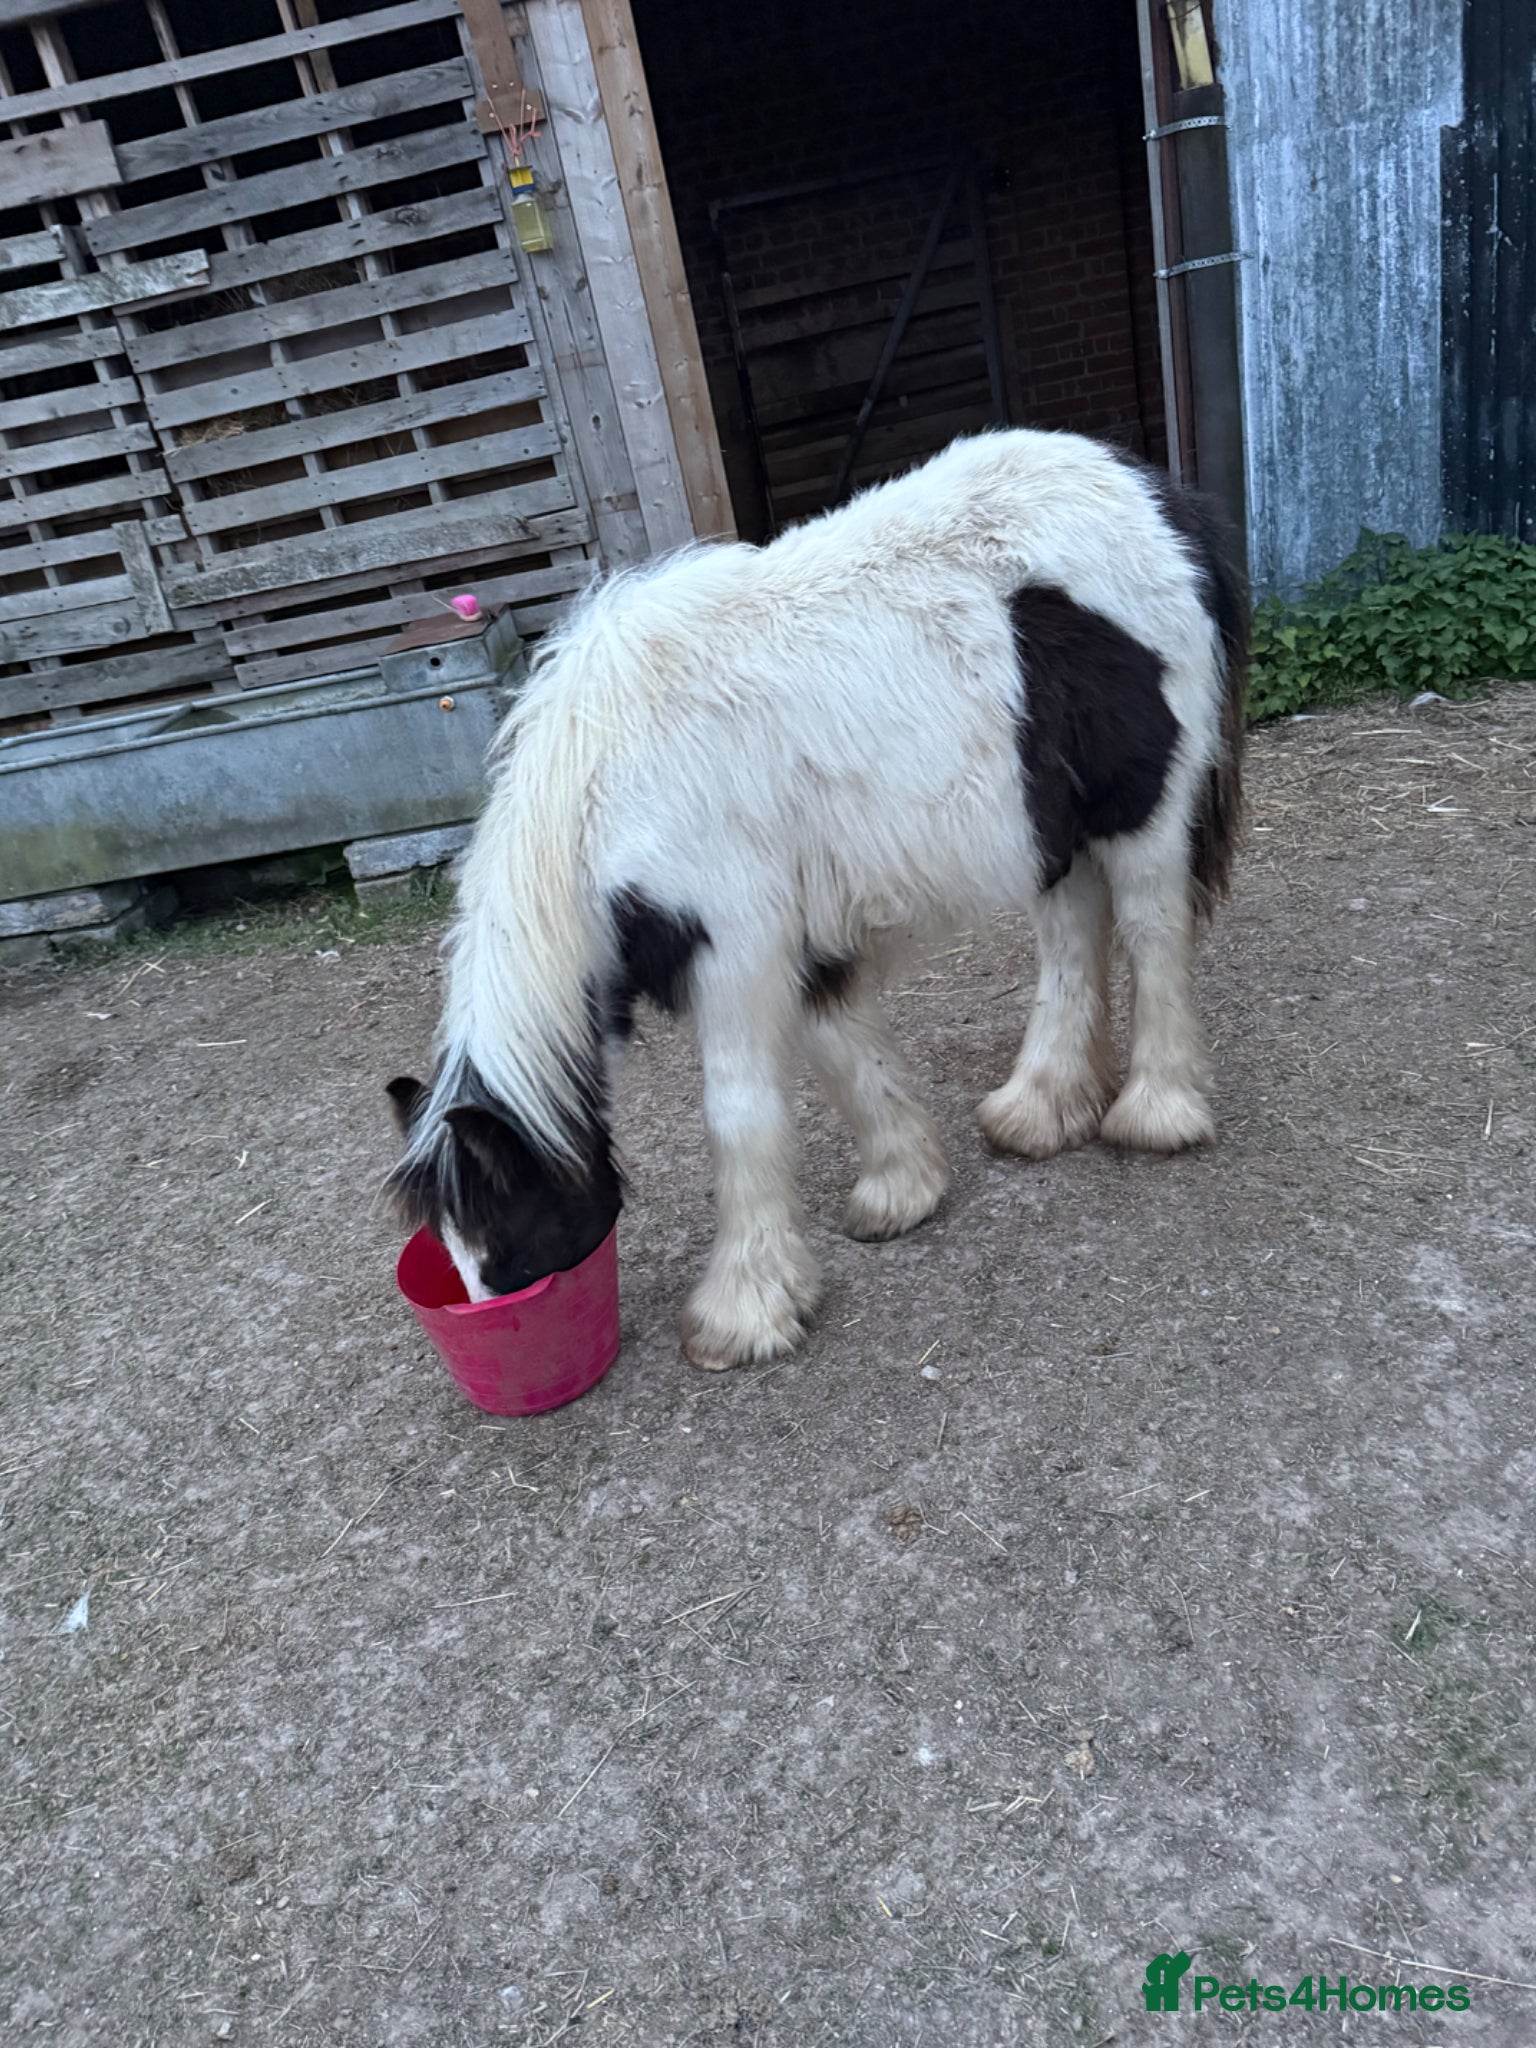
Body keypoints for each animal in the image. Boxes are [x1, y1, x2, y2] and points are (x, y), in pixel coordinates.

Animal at [387, 428, 1247, 1369]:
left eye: (505, 1241)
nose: (505, 1330)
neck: (606, 789)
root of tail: (1155, 496)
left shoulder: (734, 952)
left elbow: (740, 1114)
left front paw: (743, 1310)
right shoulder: (800, 945)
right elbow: (846, 1057)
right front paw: (902, 1187)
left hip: (1141, 808)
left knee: (1152, 926)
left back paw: (1157, 1111)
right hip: (1052, 829)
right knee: (1071, 936)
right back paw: (1042, 1106)